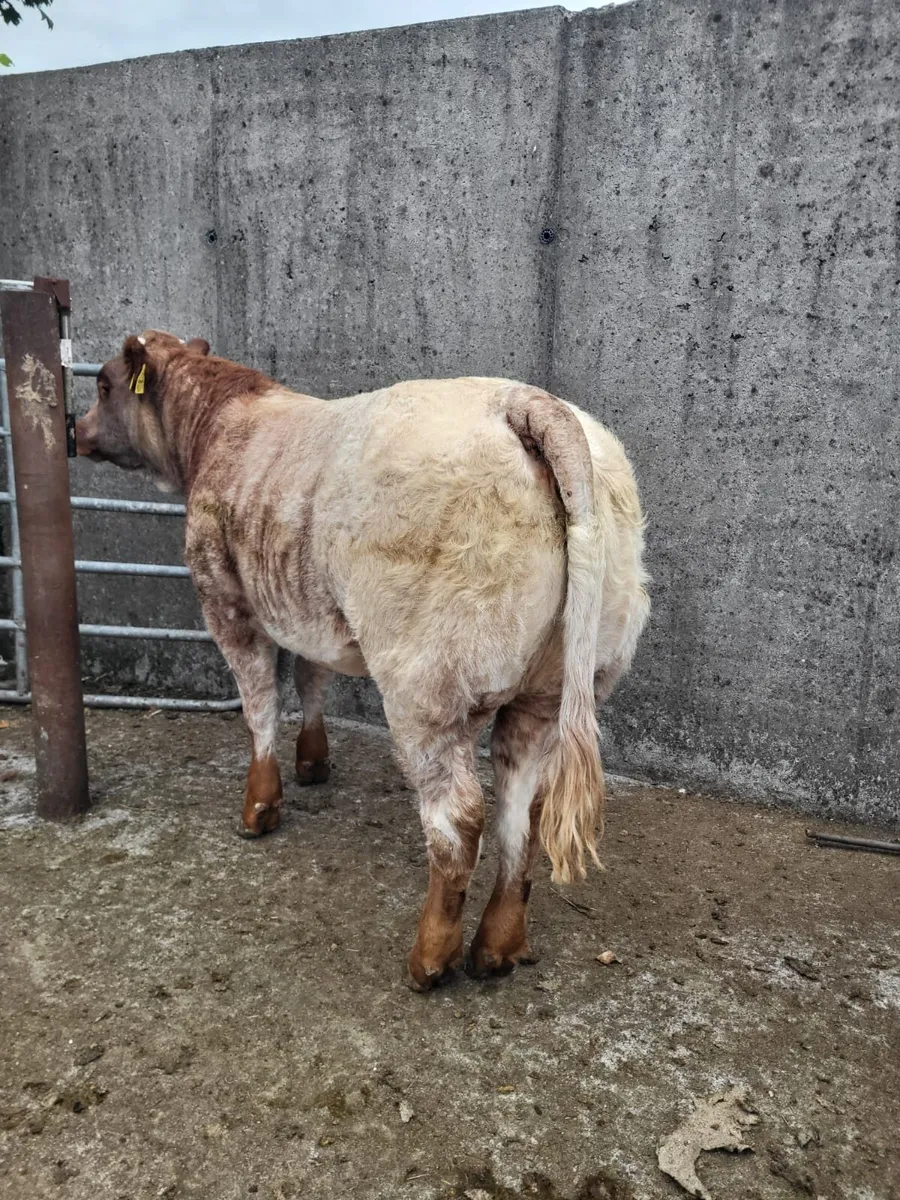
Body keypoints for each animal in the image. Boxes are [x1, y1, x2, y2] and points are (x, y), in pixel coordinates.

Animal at [75, 331, 650, 990]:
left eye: (103, 385)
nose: (74, 430)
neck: (222, 424)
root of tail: (523, 400)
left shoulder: (225, 600)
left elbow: (259, 704)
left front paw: (260, 804)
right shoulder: (311, 611)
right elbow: (311, 676)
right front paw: (313, 761)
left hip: (428, 683)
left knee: (458, 818)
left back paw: (431, 958)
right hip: (557, 686)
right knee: (521, 809)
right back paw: (497, 947)